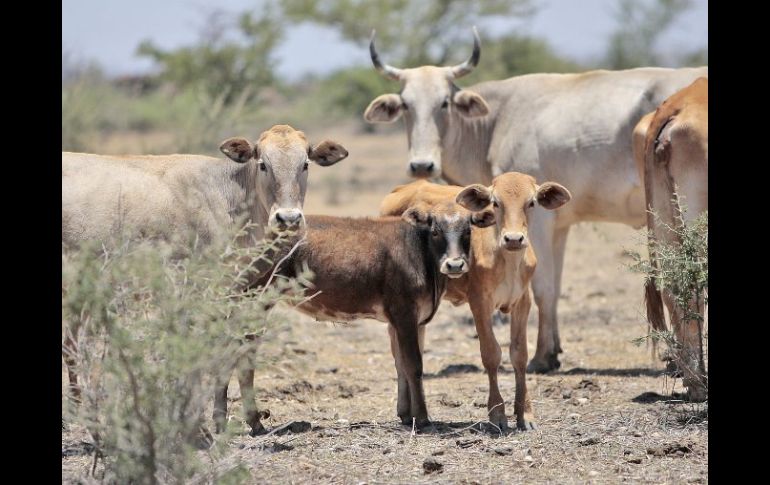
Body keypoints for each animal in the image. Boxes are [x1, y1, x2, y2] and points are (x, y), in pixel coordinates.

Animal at [380, 172, 568, 430]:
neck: (506, 261)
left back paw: (411, 411)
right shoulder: (479, 303)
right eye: (495, 203)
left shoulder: (523, 302)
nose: (513, 239)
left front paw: (525, 415)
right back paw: (406, 410)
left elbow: (519, 354)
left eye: (531, 203)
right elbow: (491, 354)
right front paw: (497, 414)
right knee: (398, 354)